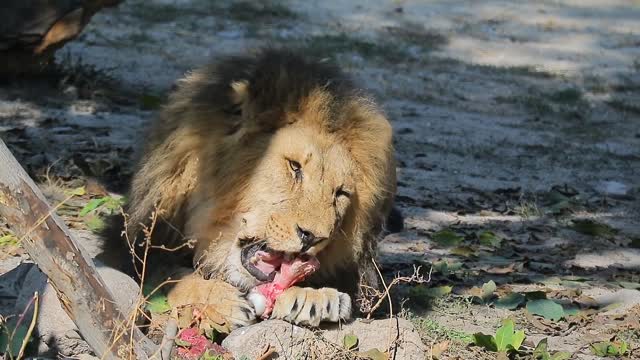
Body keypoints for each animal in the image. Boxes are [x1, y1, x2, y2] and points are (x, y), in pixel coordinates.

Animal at [115, 48, 396, 330]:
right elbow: (170, 276)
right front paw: (220, 301)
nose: (313, 237)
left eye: (340, 193)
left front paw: (313, 297)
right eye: (294, 167)